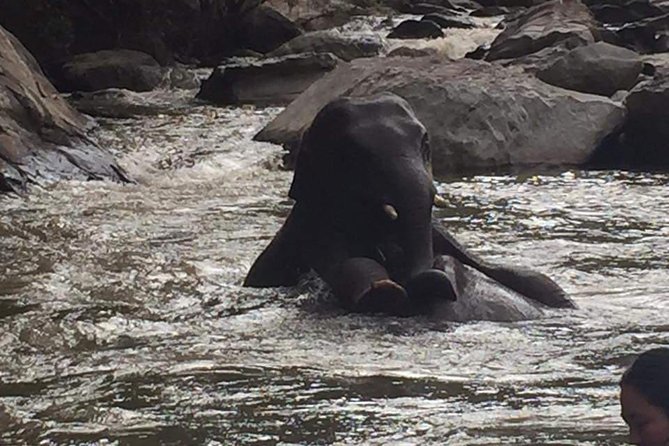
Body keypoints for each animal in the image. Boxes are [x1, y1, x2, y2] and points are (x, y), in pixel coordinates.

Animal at [244, 93, 575, 320]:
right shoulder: (315, 227)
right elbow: (353, 267)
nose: (434, 278)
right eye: (354, 156)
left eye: (425, 143)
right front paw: (386, 290)